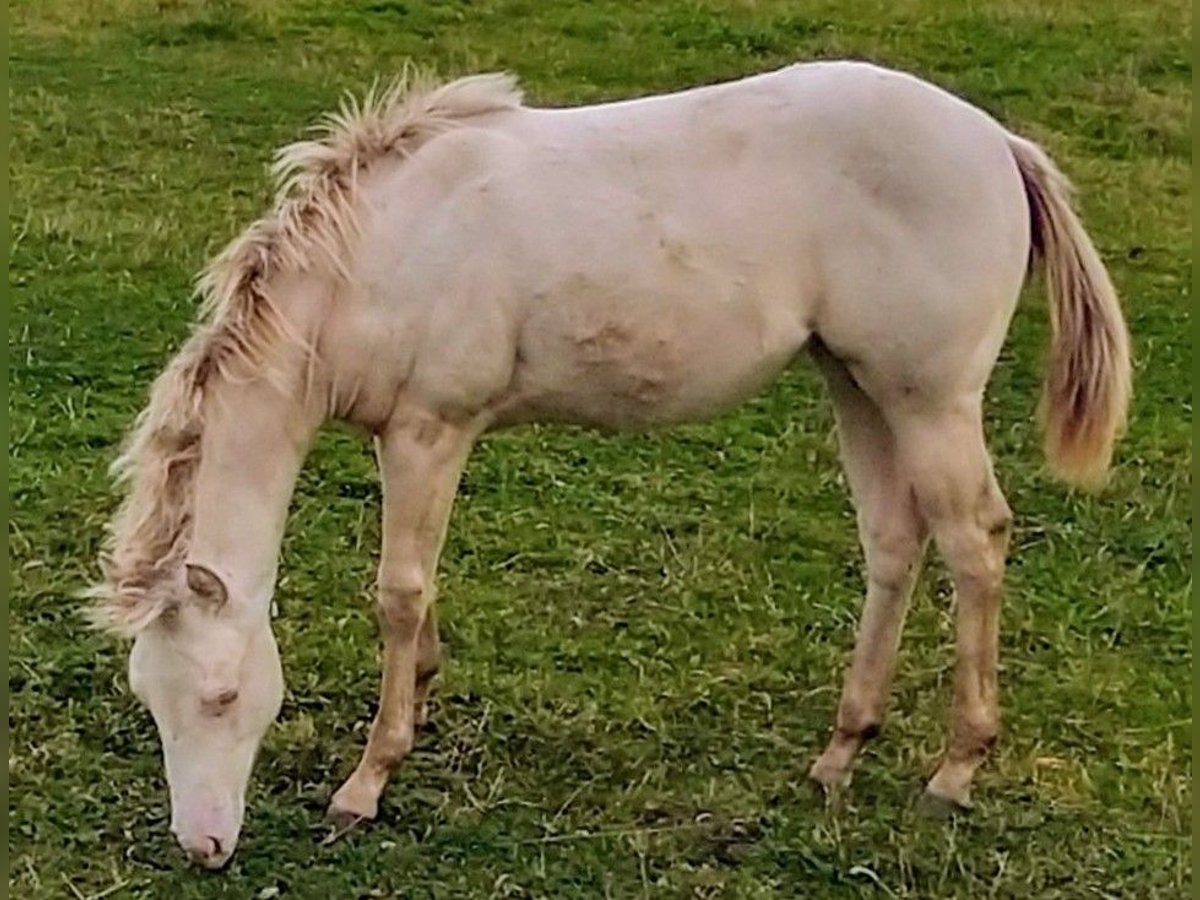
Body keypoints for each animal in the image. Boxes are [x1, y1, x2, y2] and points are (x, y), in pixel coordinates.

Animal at [88, 61, 1128, 868]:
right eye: (149, 699)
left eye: (224, 697)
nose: (204, 847)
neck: (378, 252)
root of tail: (998, 143)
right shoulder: (406, 438)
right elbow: (419, 590)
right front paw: (421, 692)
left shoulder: (431, 429)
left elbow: (399, 591)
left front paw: (369, 780)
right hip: (859, 384)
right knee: (893, 541)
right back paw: (840, 754)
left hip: (929, 398)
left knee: (974, 540)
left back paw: (955, 770)